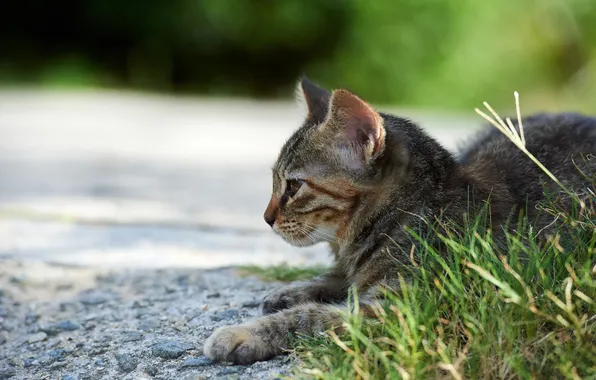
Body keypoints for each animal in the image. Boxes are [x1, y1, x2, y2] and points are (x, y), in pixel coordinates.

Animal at [204, 78, 596, 366]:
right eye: (275, 180)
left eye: (294, 185)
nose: (267, 218)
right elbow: (339, 278)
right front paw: (296, 290)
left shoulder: (402, 309)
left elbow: (311, 318)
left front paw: (245, 333)